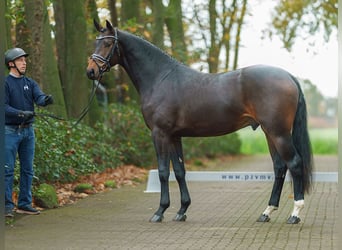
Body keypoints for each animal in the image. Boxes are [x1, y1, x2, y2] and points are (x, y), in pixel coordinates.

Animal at [86, 20, 312, 225]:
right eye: (95, 42)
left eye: (108, 43)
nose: (91, 71)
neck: (161, 78)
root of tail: (288, 76)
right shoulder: (174, 136)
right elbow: (179, 172)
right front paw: (181, 211)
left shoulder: (160, 134)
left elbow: (163, 172)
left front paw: (160, 211)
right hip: (269, 132)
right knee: (280, 168)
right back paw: (266, 212)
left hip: (278, 133)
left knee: (294, 163)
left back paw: (295, 214)